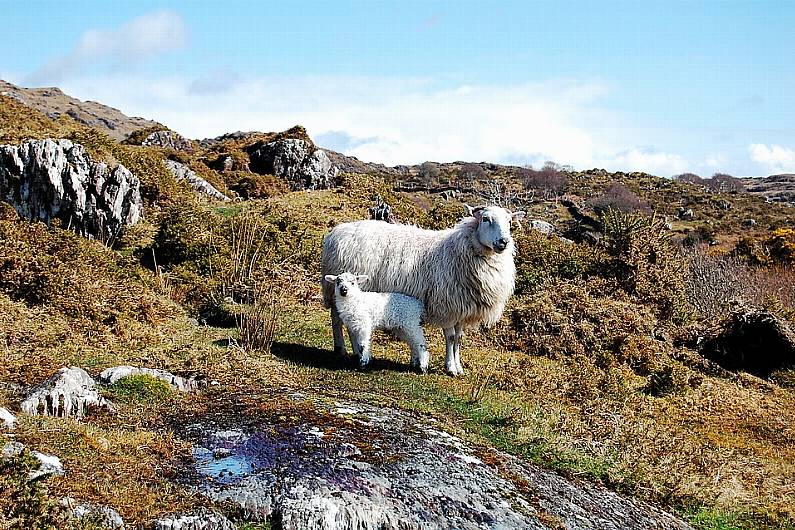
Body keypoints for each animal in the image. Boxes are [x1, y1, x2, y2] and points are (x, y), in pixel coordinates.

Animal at [320, 204, 524, 374]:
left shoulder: (461, 308)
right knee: (337, 319)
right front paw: (450, 368)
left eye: (509, 222)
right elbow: (451, 338)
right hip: (338, 290)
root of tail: (335, 232)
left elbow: (458, 339)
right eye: (485, 219)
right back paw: (343, 349)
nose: (503, 242)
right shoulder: (447, 306)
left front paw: (458, 367)